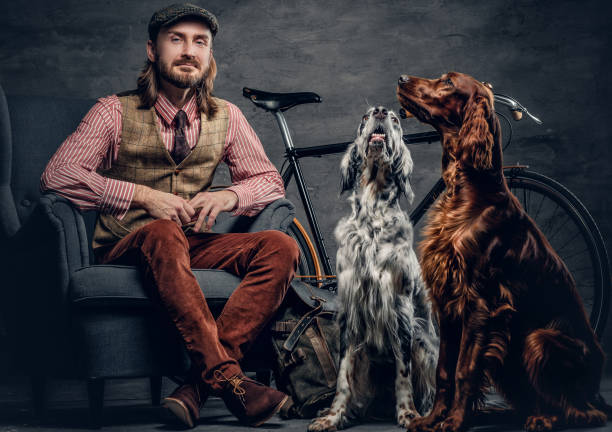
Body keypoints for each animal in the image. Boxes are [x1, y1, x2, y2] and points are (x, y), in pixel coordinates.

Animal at [308, 106, 438, 430]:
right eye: (365, 118)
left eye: (395, 119)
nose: (379, 112)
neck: (372, 216)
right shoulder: (349, 310)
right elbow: (343, 377)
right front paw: (333, 416)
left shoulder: (400, 307)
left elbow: (403, 374)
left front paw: (408, 414)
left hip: (423, 342)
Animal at [396, 72, 608, 430]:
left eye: (449, 82)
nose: (402, 79)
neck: (468, 192)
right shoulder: (448, 301)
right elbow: (444, 371)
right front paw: (433, 418)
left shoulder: (481, 302)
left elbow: (464, 370)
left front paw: (454, 422)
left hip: (538, 340)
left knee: (587, 412)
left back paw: (543, 419)